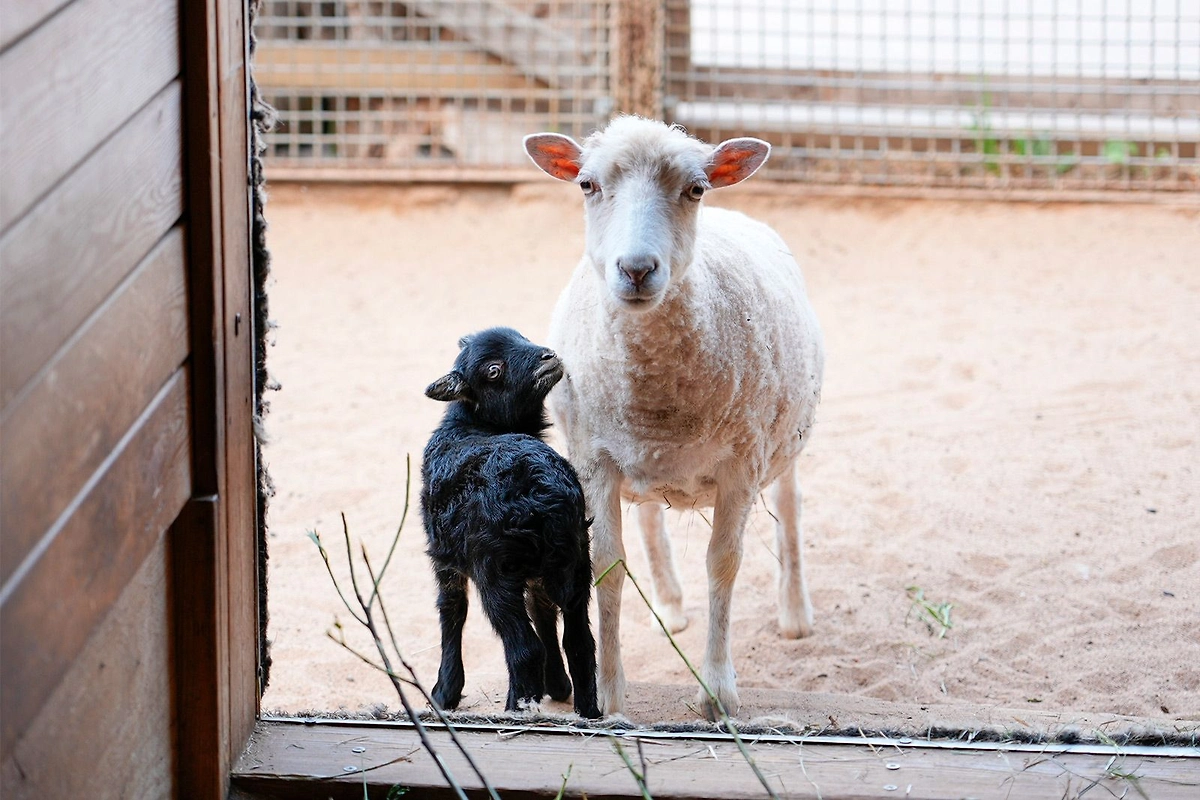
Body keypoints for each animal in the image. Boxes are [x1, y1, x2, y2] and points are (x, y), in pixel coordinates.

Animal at [420, 326, 601, 718]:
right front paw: (557, 686)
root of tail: (546, 494)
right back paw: (589, 713)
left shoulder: (444, 558)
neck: (473, 425)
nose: (549, 356)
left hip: (496, 570)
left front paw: (444, 694)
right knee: (580, 642)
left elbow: (451, 611)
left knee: (524, 648)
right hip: (577, 559)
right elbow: (544, 613)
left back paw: (516, 708)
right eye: (493, 370)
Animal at [523, 117, 825, 720]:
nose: (637, 269)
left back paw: (794, 613)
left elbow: (723, 563)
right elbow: (607, 566)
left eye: (695, 189)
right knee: (647, 518)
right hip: (639, 459)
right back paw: (669, 604)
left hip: (782, 440)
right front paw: (609, 694)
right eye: (587, 185)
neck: (656, 387)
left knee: (790, 507)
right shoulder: (594, 461)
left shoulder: (741, 463)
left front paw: (717, 692)